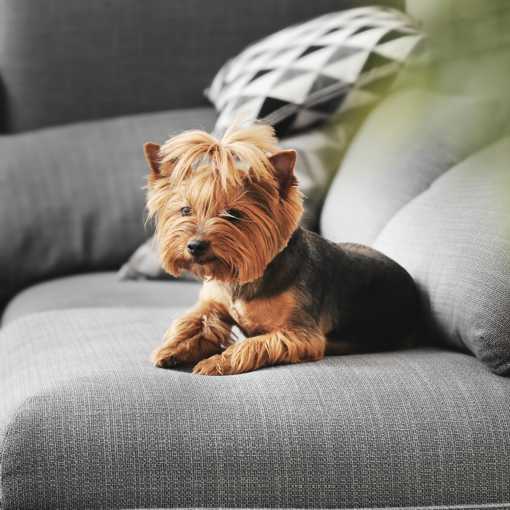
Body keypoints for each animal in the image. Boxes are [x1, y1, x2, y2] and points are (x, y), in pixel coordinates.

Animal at [142, 122, 418, 374]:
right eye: (185, 210)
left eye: (233, 215)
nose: (195, 246)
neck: (244, 277)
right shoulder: (214, 303)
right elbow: (193, 320)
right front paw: (171, 348)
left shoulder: (301, 334)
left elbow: (252, 345)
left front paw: (216, 361)